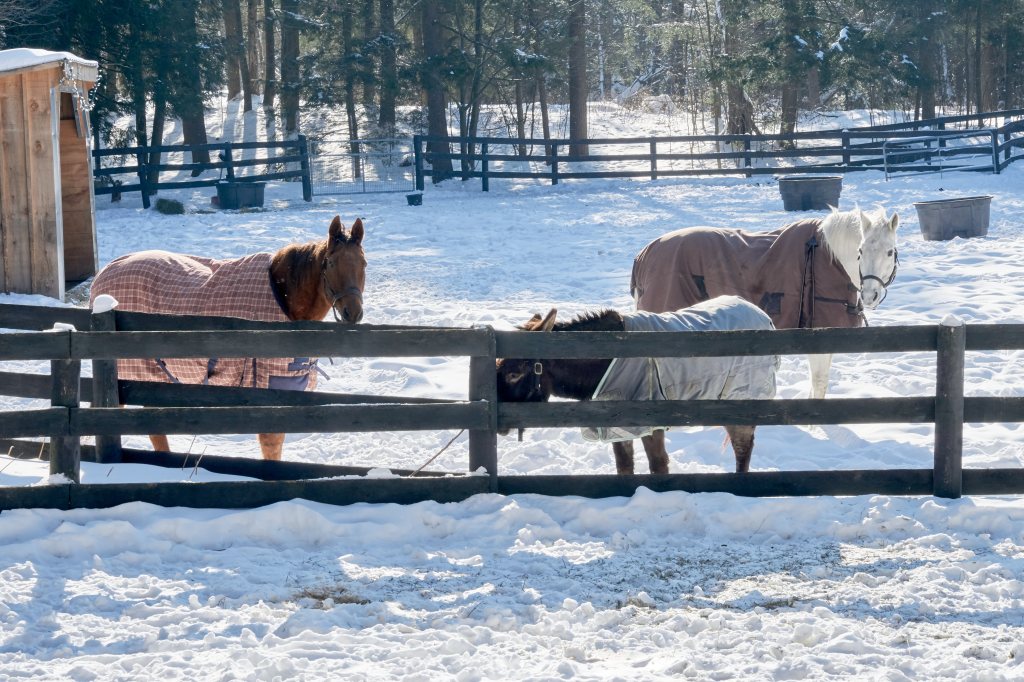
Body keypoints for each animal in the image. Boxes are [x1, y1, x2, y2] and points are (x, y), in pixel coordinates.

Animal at [88, 215, 366, 461]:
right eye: (331, 263)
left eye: (363, 264)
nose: (352, 313)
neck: (282, 298)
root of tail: (102, 276)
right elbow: (272, 445)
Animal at [496, 295, 779, 475]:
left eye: (514, 372)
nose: (498, 425)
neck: (593, 378)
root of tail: (766, 318)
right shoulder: (617, 427)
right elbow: (624, 467)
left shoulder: (651, 422)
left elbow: (659, 465)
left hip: (742, 401)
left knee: (743, 449)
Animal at [630, 206, 899, 400]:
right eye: (860, 251)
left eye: (889, 251)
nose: (870, 295)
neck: (829, 258)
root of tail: (644, 254)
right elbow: (819, 384)